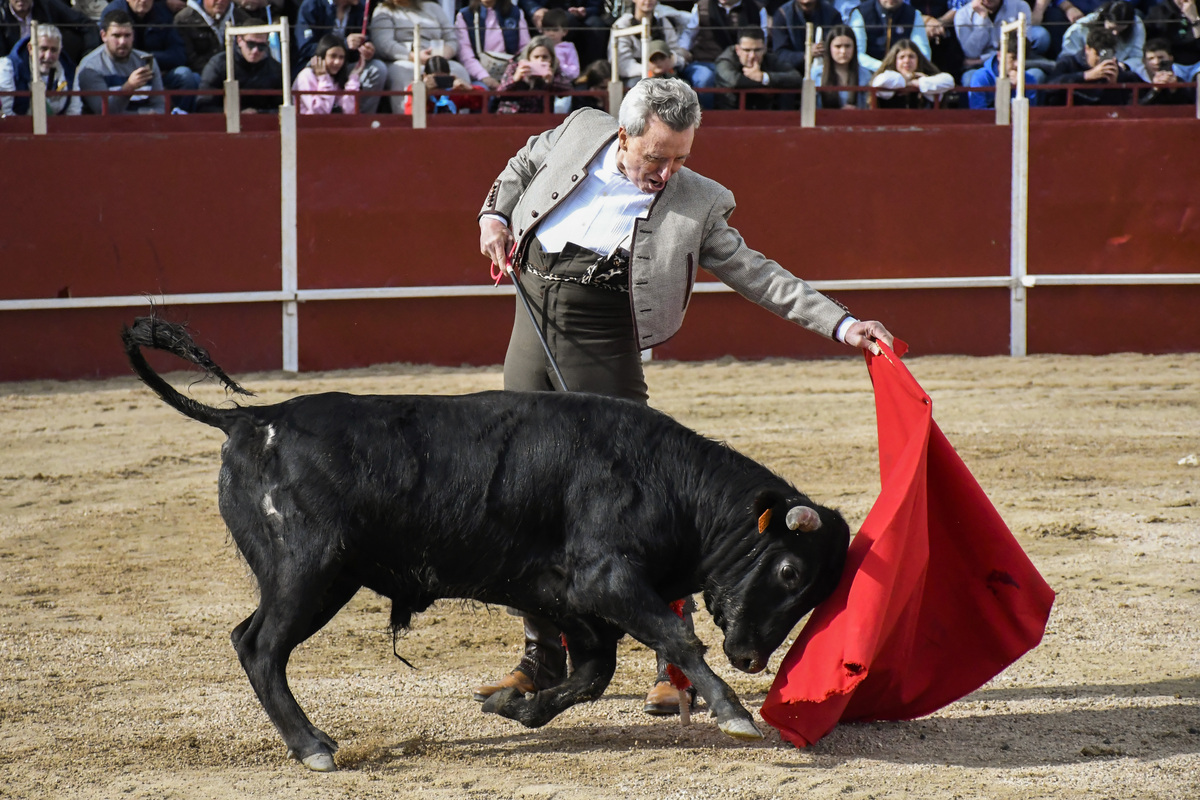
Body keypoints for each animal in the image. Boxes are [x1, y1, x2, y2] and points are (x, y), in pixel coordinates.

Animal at [121, 316, 849, 767]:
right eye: (790, 572)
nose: (751, 658)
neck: (664, 479)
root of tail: (251, 420)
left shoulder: (571, 601)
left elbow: (591, 674)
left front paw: (513, 706)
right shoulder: (607, 580)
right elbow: (676, 637)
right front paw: (732, 711)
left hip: (312, 578)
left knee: (249, 637)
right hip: (311, 571)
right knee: (262, 648)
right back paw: (313, 747)